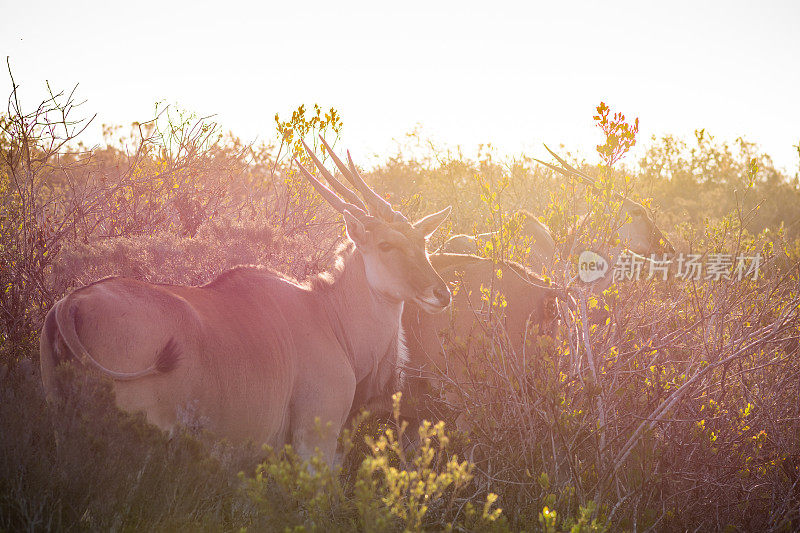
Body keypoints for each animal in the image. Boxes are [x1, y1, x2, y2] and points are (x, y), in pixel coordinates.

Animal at [42, 138, 450, 466]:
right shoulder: (315, 439)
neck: (329, 316)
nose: (441, 293)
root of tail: (70, 304)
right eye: (386, 244)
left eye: (423, 242)